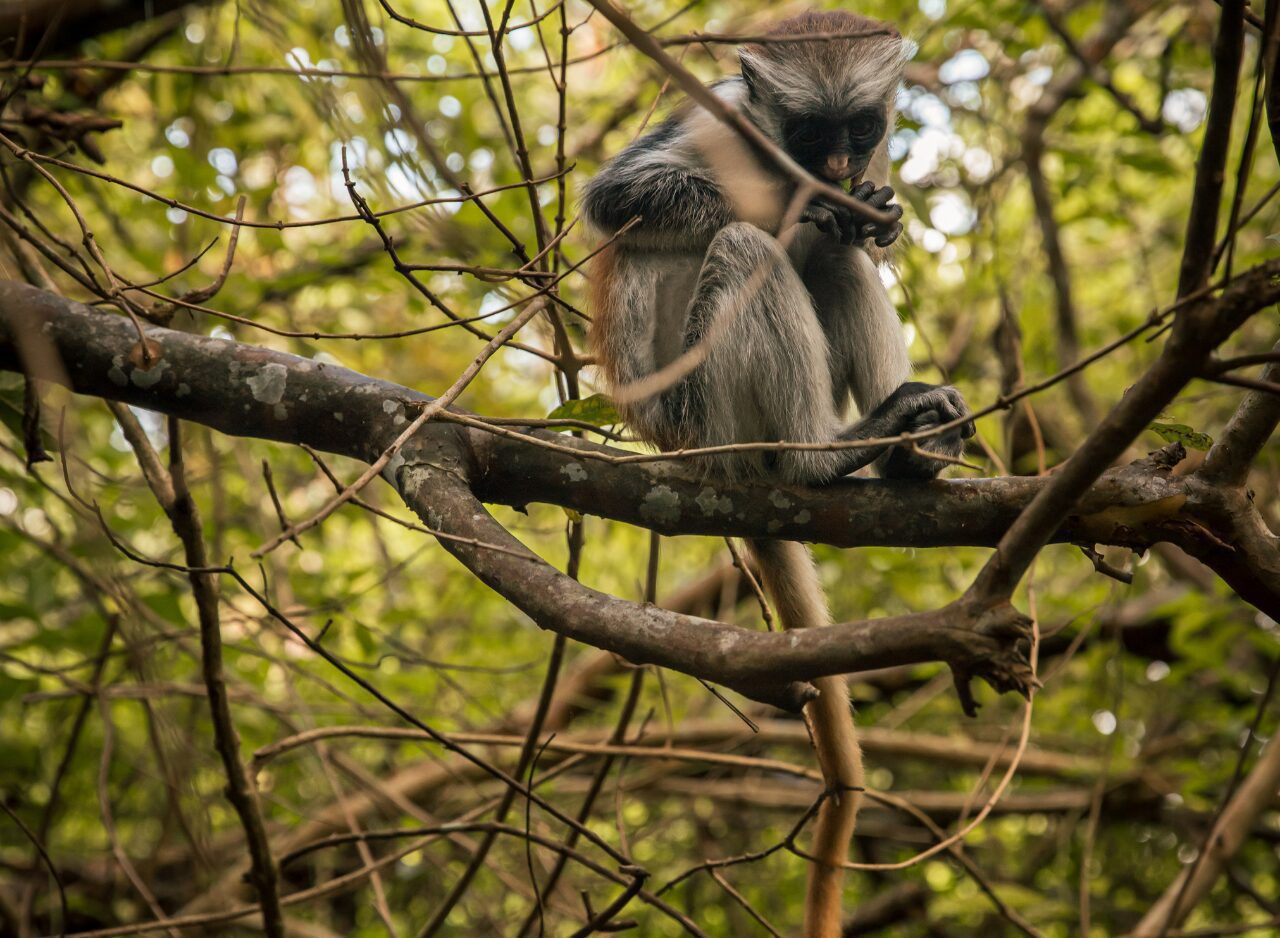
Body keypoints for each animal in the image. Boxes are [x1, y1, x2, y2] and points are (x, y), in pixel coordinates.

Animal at [583, 10, 974, 937]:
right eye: (806, 132)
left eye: (860, 128)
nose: (832, 168)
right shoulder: (714, 116)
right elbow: (614, 199)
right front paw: (814, 204)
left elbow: (854, 237)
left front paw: (866, 211)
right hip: (704, 416)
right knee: (742, 243)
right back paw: (825, 456)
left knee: (831, 260)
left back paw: (910, 448)